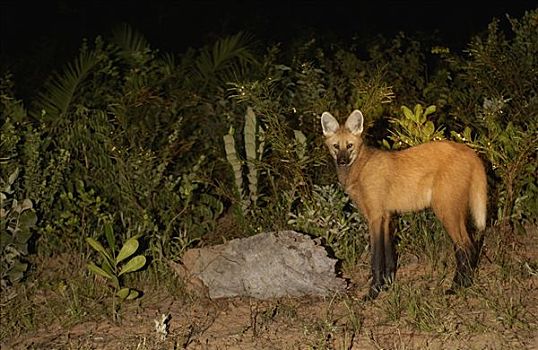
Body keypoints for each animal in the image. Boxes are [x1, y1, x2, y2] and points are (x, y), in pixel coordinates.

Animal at [320, 109, 488, 298]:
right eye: (336, 146)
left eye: (349, 146)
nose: (342, 161)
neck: (361, 168)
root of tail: (469, 150)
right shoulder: (387, 216)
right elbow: (388, 256)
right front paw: (387, 285)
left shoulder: (375, 217)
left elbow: (376, 259)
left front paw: (373, 292)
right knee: (468, 246)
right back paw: (463, 284)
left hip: (445, 210)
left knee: (466, 246)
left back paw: (458, 287)